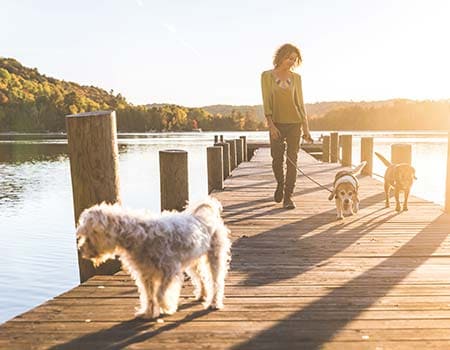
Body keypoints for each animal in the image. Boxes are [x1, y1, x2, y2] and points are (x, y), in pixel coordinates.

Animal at [76, 197, 230, 320]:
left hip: (215, 259)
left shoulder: (169, 271)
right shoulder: (146, 275)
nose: (81, 250)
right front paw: (148, 313)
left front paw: (167, 306)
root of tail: (203, 216)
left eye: (90, 235)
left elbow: (159, 294)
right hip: (193, 263)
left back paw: (214, 303)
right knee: (200, 278)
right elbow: (149, 296)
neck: (138, 234)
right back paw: (202, 295)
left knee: (216, 282)